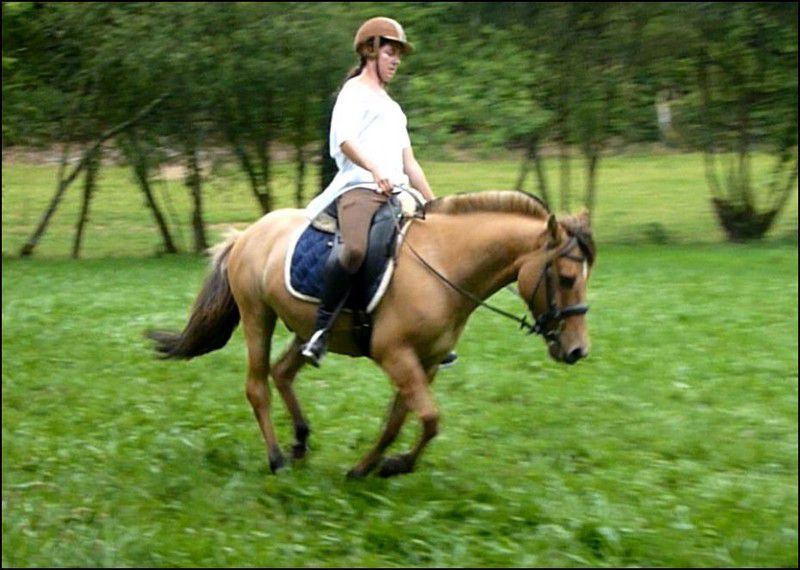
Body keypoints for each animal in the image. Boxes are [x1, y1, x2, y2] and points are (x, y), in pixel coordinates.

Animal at [148, 190, 596, 478]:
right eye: (567, 277)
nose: (577, 350)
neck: (443, 265)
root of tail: (246, 234)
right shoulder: (395, 355)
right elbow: (429, 418)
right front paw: (394, 465)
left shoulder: (426, 363)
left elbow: (403, 421)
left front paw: (369, 467)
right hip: (258, 317)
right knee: (258, 386)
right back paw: (277, 460)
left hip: (306, 327)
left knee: (282, 373)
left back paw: (301, 441)